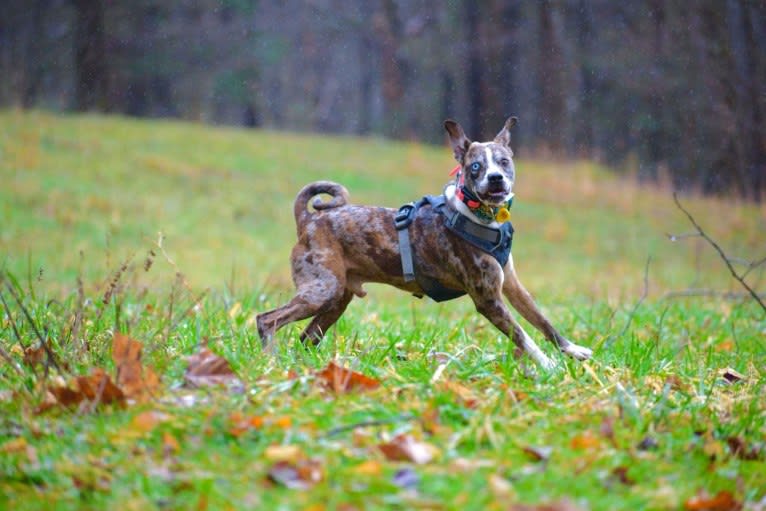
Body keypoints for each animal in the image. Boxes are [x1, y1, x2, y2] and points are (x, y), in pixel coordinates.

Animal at [258, 118, 592, 370]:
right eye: (475, 167)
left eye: (504, 161)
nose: (496, 178)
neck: (479, 215)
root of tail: (308, 219)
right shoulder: (488, 300)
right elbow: (523, 335)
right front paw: (548, 366)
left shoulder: (511, 285)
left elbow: (543, 321)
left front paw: (572, 350)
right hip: (321, 290)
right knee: (267, 320)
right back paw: (271, 361)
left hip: (337, 298)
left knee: (306, 338)